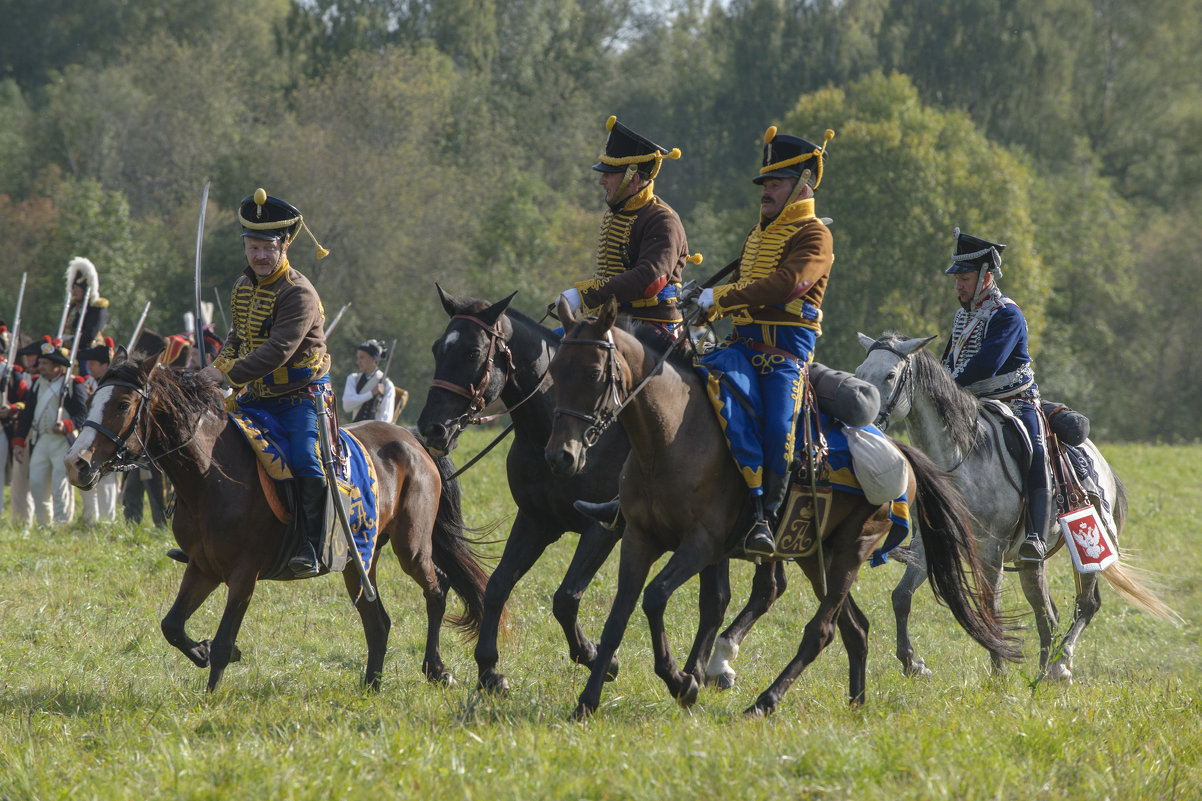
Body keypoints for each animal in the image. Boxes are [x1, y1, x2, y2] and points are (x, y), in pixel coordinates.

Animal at [63, 346, 488, 687]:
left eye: (122, 404)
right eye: (94, 399)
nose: (76, 464)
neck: (210, 473)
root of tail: (411, 438)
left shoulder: (243, 574)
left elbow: (224, 643)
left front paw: (211, 697)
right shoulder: (202, 568)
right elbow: (172, 626)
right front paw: (200, 652)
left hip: (411, 546)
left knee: (437, 590)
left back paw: (437, 669)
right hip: (357, 560)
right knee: (377, 621)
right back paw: (371, 686)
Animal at [418, 287, 793, 692]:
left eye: (472, 351)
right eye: (437, 348)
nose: (431, 428)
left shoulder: (602, 529)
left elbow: (566, 597)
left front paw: (599, 657)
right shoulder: (536, 521)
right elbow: (499, 584)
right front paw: (489, 669)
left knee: (751, 591)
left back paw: (717, 663)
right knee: (743, 592)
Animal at [550, 294, 1019, 716]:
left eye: (594, 371)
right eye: (554, 369)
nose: (562, 456)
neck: (670, 437)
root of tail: (901, 455)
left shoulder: (701, 545)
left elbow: (655, 598)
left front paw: (682, 681)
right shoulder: (639, 538)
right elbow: (619, 616)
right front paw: (587, 701)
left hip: (850, 552)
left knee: (821, 630)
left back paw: (765, 701)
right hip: (816, 556)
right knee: (855, 629)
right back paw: (856, 702)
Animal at [855, 329, 1173, 678]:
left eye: (889, 375)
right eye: (860, 372)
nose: (863, 420)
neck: (961, 457)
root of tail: (1099, 461)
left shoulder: (991, 550)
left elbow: (991, 606)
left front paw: (999, 672)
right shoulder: (929, 543)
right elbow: (901, 596)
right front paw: (913, 663)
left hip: (1087, 547)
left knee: (1086, 605)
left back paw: (1060, 665)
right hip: (1032, 562)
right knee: (1047, 613)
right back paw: (1044, 669)